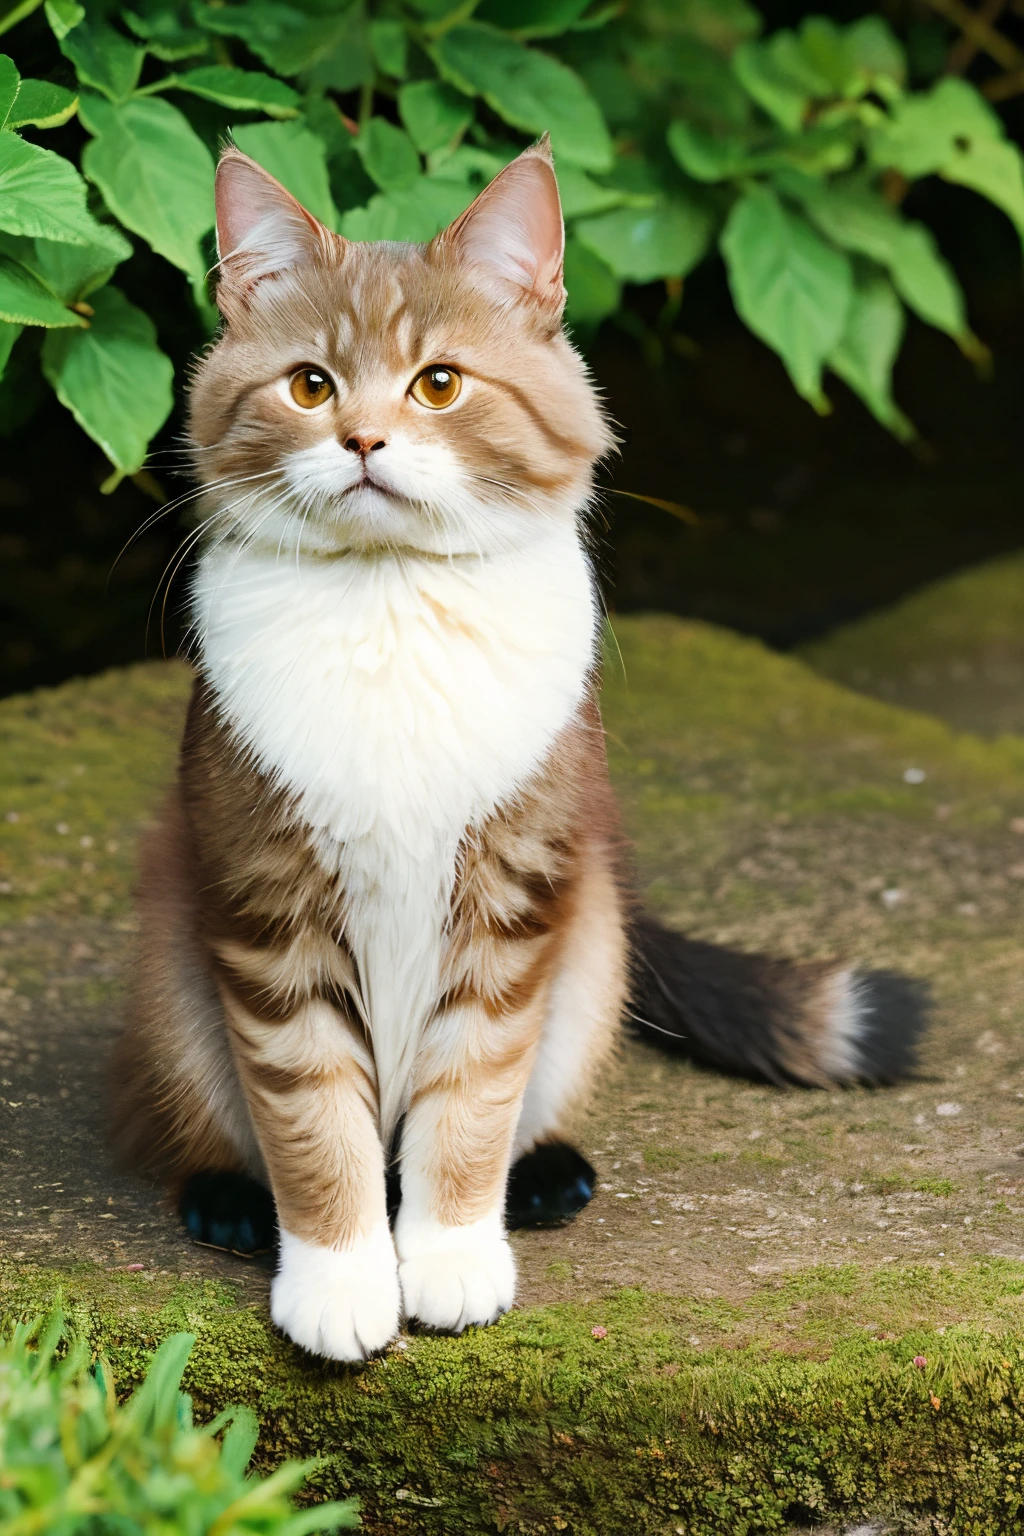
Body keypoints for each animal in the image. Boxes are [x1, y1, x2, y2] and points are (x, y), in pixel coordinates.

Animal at [114, 135, 927, 1357]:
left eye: (439, 384)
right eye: (310, 385)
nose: (362, 439)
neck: (392, 603)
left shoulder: (516, 898)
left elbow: (475, 1093)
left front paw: (450, 1253)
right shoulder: (266, 907)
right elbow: (309, 1113)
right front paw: (340, 1277)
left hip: (592, 944)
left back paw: (541, 1178)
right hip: (173, 959)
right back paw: (229, 1200)